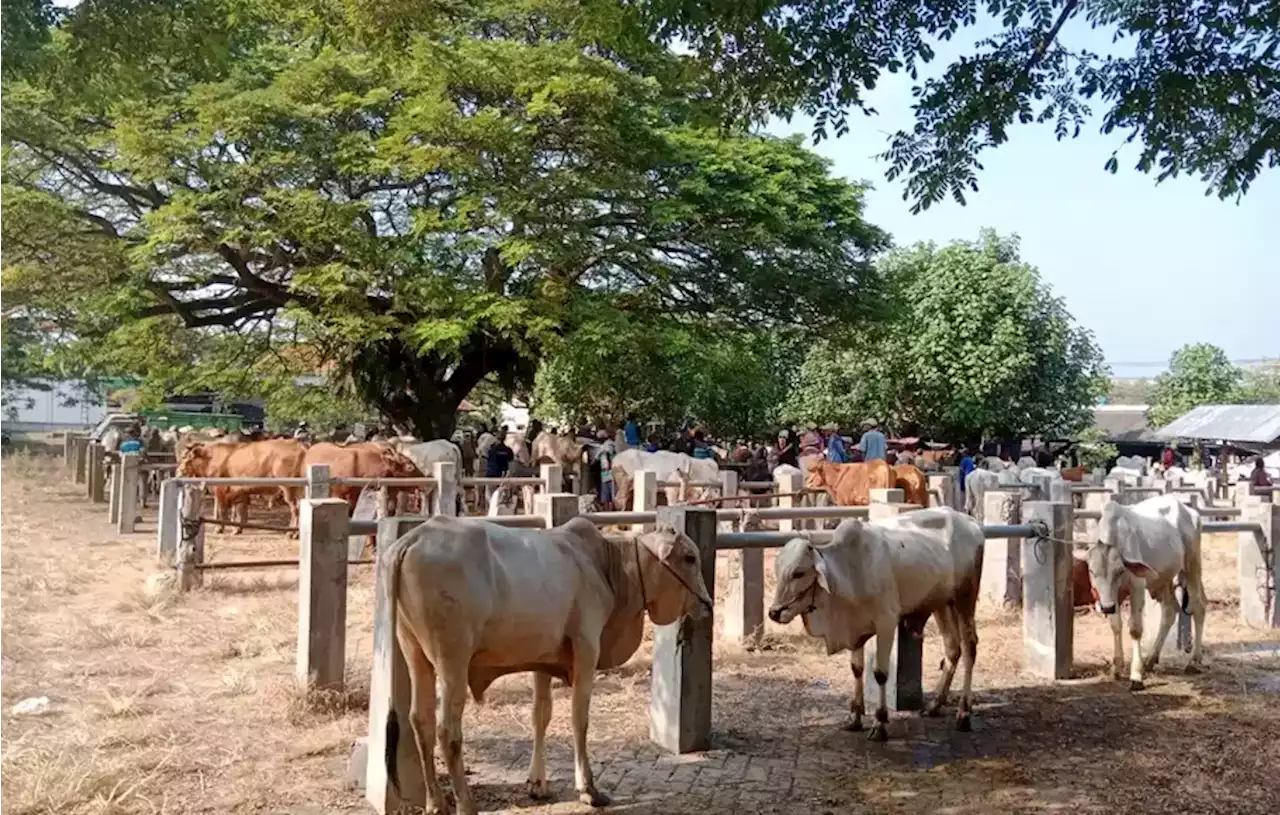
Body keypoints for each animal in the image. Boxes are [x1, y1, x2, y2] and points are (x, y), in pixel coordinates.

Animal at [384, 516, 716, 808]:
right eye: (689, 558)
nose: (708, 604)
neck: (607, 566)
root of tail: (414, 538)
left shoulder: (540, 660)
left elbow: (541, 715)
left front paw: (538, 784)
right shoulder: (586, 648)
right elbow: (579, 718)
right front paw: (589, 789)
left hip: (415, 653)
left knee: (420, 722)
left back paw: (435, 803)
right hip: (453, 661)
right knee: (447, 732)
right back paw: (465, 805)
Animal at [762, 511, 983, 742]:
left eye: (798, 573)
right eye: (777, 570)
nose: (774, 612)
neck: (851, 569)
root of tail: (970, 522)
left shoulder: (886, 622)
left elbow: (880, 673)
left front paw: (880, 722)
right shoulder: (855, 629)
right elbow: (857, 669)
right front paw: (855, 717)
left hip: (965, 599)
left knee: (969, 648)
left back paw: (964, 713)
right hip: (943, 604)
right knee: (953, 649)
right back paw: (935, 705)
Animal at [1085, 493, 1203, 690]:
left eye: (1120, 571)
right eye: (1092, 572)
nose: (1106, 607)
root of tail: (1190, 511)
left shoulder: (1137, 588)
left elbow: (1135, 629)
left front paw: (1136, 676)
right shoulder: (1112, 597)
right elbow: (1116, 625)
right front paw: (1117, 668)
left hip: (1192, 565)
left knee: (1199, 606)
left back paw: (1193, 661)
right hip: (1164, 578)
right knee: (1170, 610)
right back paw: (1150, 660)